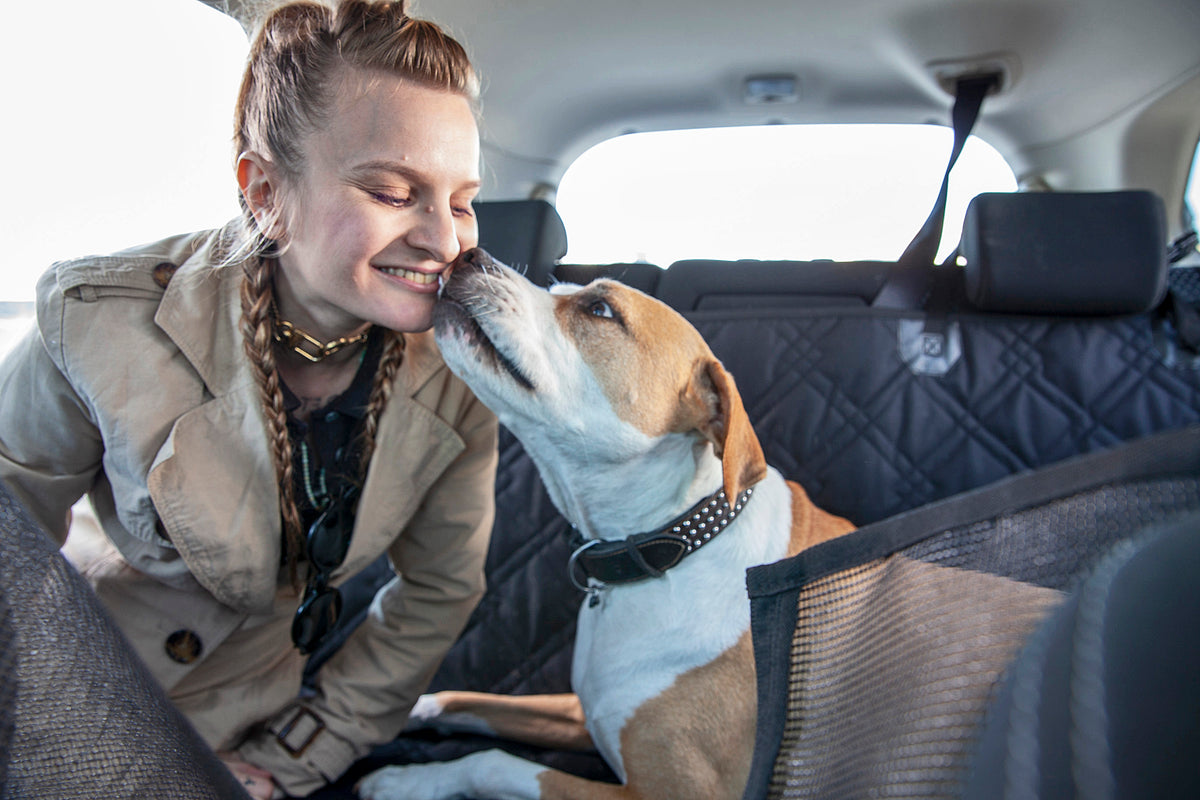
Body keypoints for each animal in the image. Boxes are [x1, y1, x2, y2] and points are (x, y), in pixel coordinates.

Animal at [355, 250, 854, 800]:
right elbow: (462, 700)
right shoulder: (580, 711)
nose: (469, 254)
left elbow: (491, 761)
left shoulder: (666, 792)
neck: (676, 540)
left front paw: (405, 780)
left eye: (600, 309)